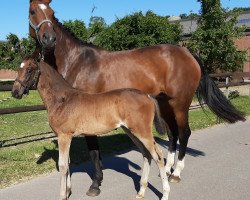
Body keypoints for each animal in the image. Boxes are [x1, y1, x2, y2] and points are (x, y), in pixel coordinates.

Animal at [12, 56, 171, 200]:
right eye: (18, 69)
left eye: (29, 70)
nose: (15, 92)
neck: (62, 100)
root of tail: (148, 96)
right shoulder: (67, 137)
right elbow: (68, 163)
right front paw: (68, 191)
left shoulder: (64, 136)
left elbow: (62, 165)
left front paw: (63, 195)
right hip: (132, 131)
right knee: (146, 154)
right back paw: (141, 192)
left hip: (142, 132)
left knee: (158, 156)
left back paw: (164, 194)